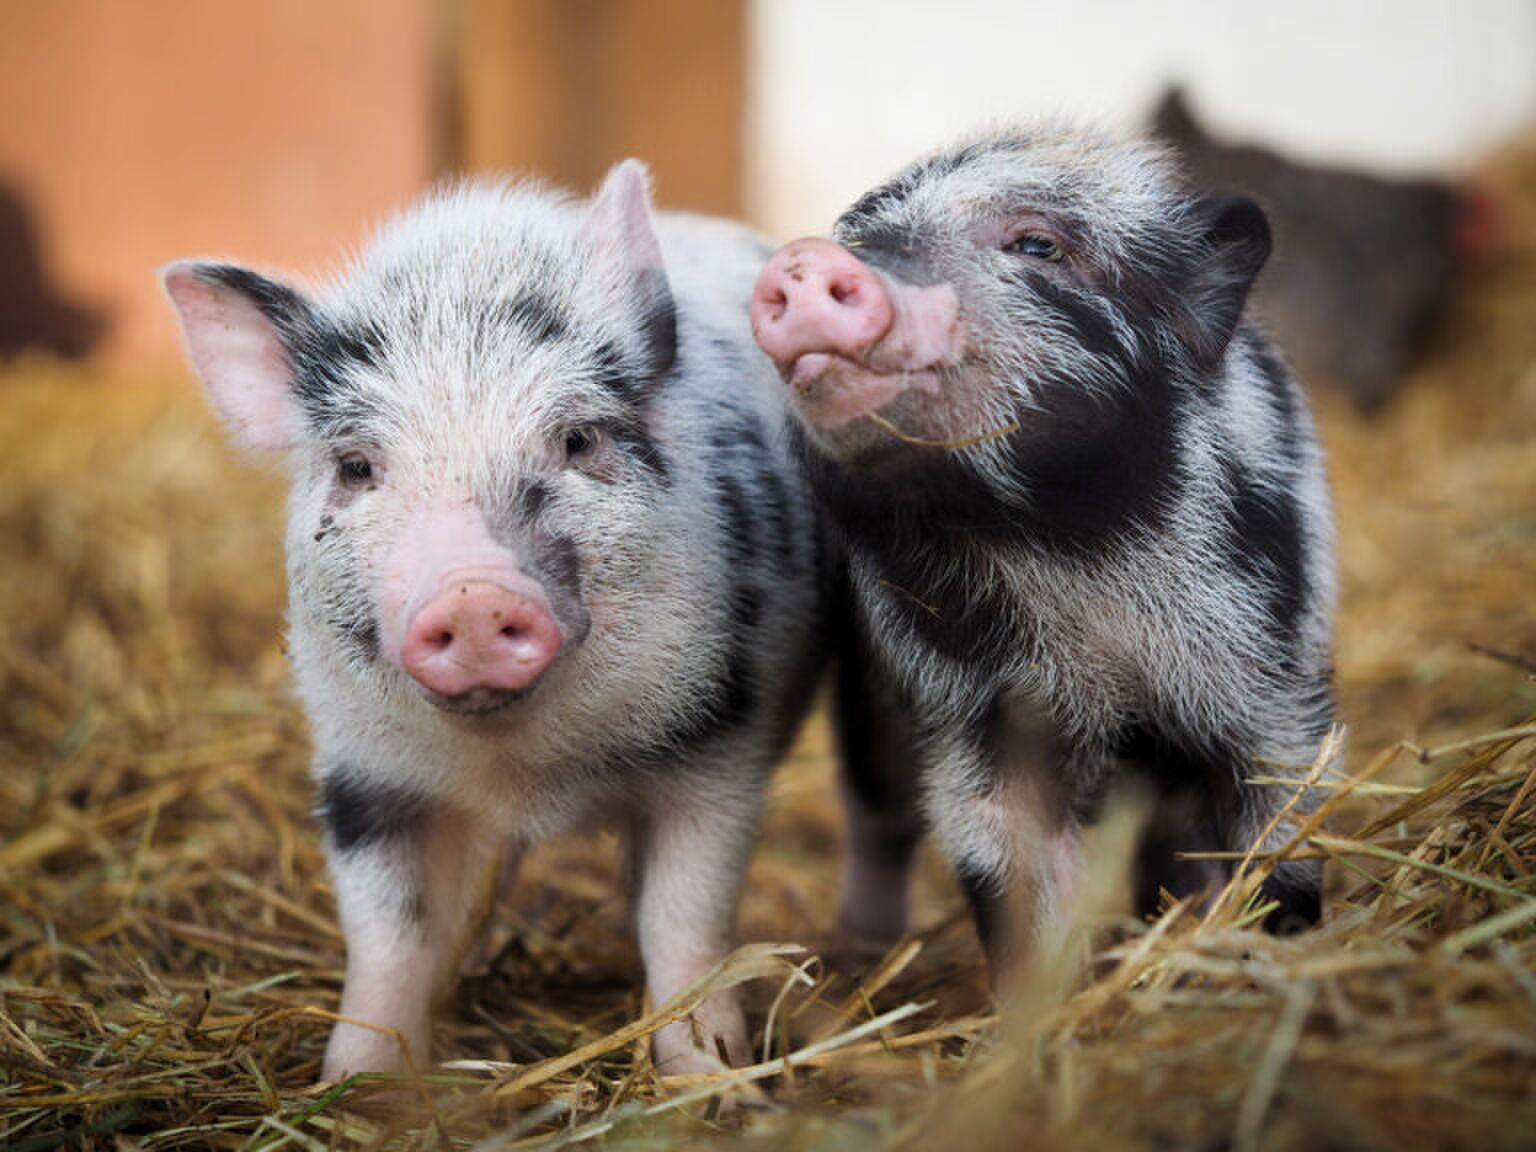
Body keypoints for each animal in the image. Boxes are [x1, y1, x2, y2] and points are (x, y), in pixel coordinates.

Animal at [162, 161, 828, 1081]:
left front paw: (716, 1079)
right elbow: (389, 936)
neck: (529, 779)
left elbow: (686, 921)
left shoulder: (722, 750)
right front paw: (355, 1084)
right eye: (357, 466)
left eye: (578, 440)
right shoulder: (362, 773)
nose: (473, 594)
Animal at [751, 124, 1335, 969]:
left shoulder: (1278, 683)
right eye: (855, 235)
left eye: (1036, 244)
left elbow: (1282, 842)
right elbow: (1013, 886)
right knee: (879, 811)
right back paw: (864, 944)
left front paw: (1270, 947)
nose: (802, 260)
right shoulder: (970, 719)